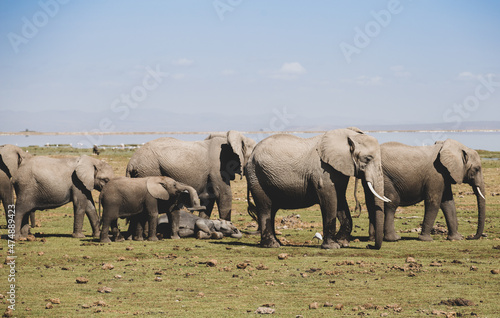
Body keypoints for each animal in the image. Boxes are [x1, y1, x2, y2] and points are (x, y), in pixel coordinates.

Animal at [247, 128, 390, 250]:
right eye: (367, 158)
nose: (369, 246)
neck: (347, 136)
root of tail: (252, 154)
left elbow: (340, 200)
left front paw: (342, 243)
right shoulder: (322, 171)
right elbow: (330, 201)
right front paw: (332, 246)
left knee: (272, 210)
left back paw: (277, 243)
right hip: (257, 177)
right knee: (265, 208)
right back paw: (272, 245)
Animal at [358, 139, 486, 241]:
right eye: (476, 169)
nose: (470, 237)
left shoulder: (444, 176)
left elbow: (448, 203)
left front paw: (456, 238)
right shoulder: (436, 174)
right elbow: (434, 202)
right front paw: (426, 239)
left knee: (371, 203)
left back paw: (372, 238)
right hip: (384, 177)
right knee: (391, 202)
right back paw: (393, 239)